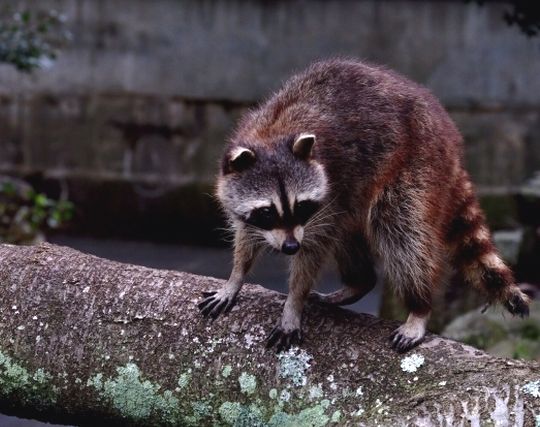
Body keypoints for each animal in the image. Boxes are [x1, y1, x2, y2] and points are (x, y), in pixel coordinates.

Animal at [199, 60, 532, 354]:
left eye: (301, 206)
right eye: (267, 211)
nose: (291, 247)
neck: (272, 135)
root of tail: (449, 137)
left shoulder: (329, 191)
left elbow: (314, 249)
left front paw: (294, 303)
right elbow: (247, 235)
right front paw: (236, 277)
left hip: (418, 162)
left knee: (399, 231)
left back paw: (419, 307)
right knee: (349, 231)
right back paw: (359, 282)